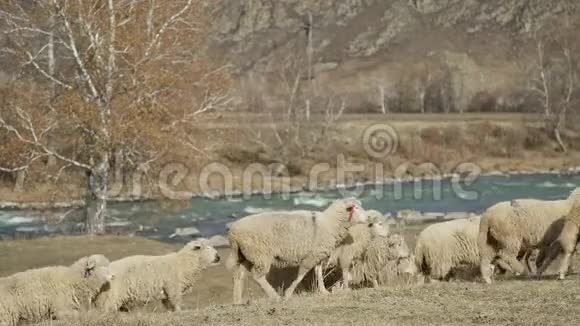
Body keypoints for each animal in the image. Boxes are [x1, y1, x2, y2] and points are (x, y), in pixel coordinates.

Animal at [227, 197, 368, 304]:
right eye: (355, 207)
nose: (368, 218)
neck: (330, 223)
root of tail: (233, 233)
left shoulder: (317, 254)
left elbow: (318, 273)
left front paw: (323, 291)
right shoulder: (311, 256)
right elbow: (301, 274)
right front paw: (288, 294)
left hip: (245, 255)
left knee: (239, 276)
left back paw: (237, 301)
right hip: (261, 254)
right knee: (258, 276)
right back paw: (274, 296)